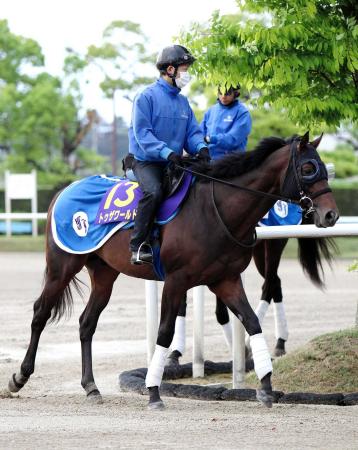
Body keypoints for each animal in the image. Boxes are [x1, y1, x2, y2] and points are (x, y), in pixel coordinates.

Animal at [7, 132, 338, 410]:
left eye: (324, 167)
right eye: (308, 167)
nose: (330, 214)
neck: (215, 209)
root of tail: (64, 190)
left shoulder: (226, 280)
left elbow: (252, 323)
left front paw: (266, 385)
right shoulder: (176, 280)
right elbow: (164, 332)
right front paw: (154, 390)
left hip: (104, 274)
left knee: (87, 323)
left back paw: (91, 386)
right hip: (62, 266)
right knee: (40, 312)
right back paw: (20, 377)